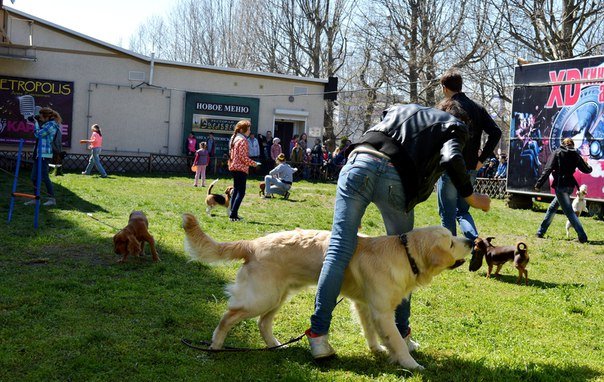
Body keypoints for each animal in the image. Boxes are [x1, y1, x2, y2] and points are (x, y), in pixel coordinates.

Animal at [179, 213, 472, 368]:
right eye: (451, 242)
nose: (471, 240)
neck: (404, 254)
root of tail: (252, 243)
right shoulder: (381, 310)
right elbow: (398, 340)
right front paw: (411, 364)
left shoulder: (364, 305)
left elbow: (371, 332)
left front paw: (378, 349)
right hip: (262, 297)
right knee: (228, 317)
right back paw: (215, 346)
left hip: (278, 295)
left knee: (263, 323)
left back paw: (275, 345)